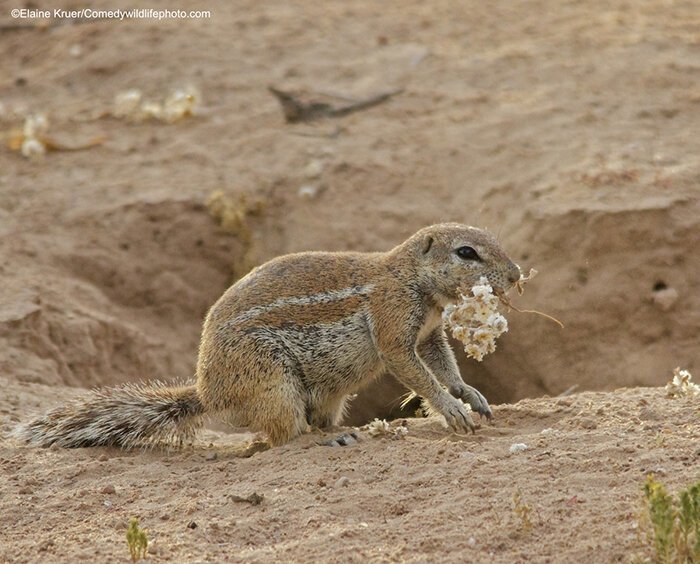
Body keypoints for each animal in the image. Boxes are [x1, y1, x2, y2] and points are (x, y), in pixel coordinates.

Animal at [15, 223, 520, 448]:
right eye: (467, 252)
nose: (515, 275)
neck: (411, 277)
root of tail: (208, 393)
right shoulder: (394, 324)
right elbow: (415, 371)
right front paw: (451, 410)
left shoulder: (430, 334)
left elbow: (443, 364)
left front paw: (470, 394)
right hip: (273, 381)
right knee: (282, 436)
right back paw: (324, 440)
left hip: (325, 393)